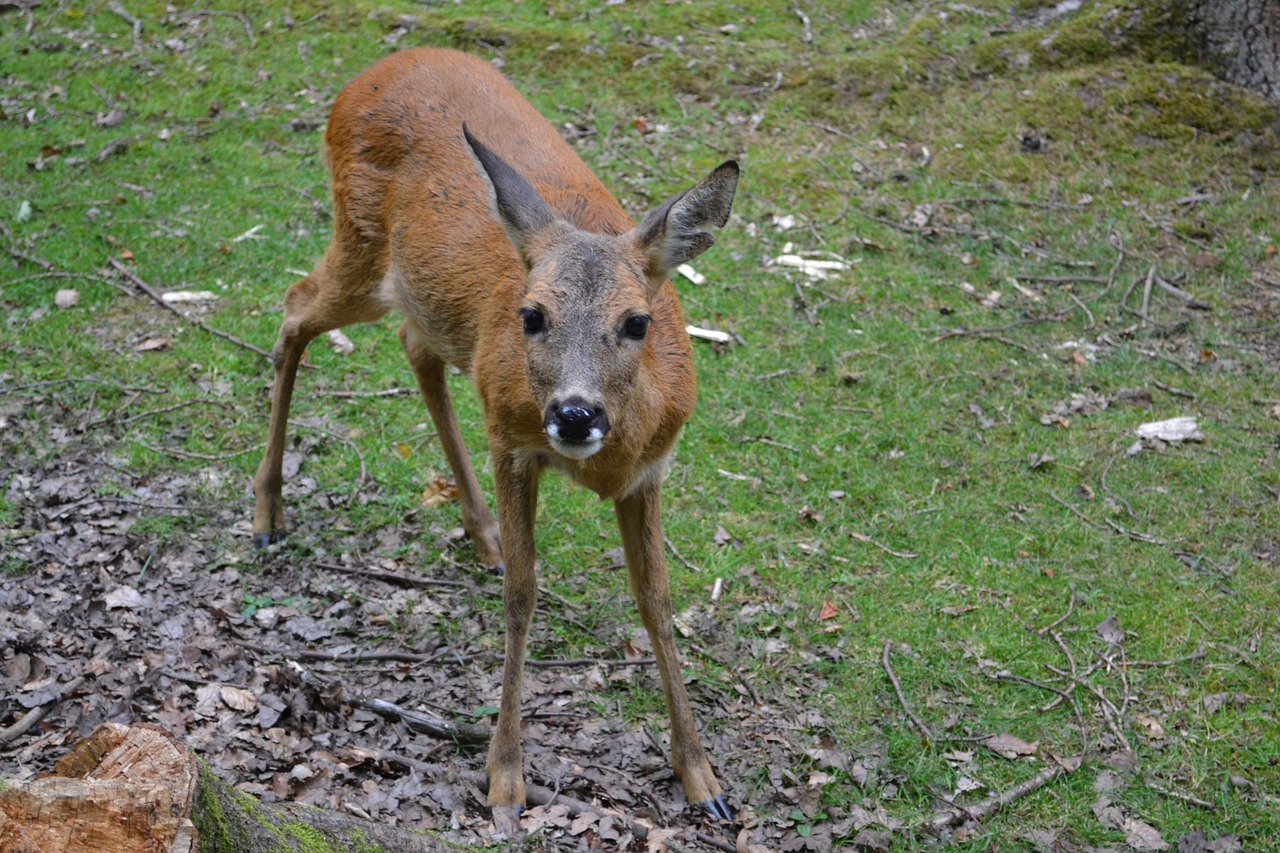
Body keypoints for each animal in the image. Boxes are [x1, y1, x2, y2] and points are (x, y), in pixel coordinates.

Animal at [250, 49, 742, 819]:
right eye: (532, 314)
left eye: (638, 321)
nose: (574, 414)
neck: (606, 461)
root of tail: (370, 72)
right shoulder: (515, 447)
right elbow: (522, 593)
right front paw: (505, 776)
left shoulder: (651, 470)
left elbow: (657, 601)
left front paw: (703, 778)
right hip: (359, 245)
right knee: (295, 308)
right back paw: (268, 512)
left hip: (414, 292)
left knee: (409, 343)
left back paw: (477, 529)